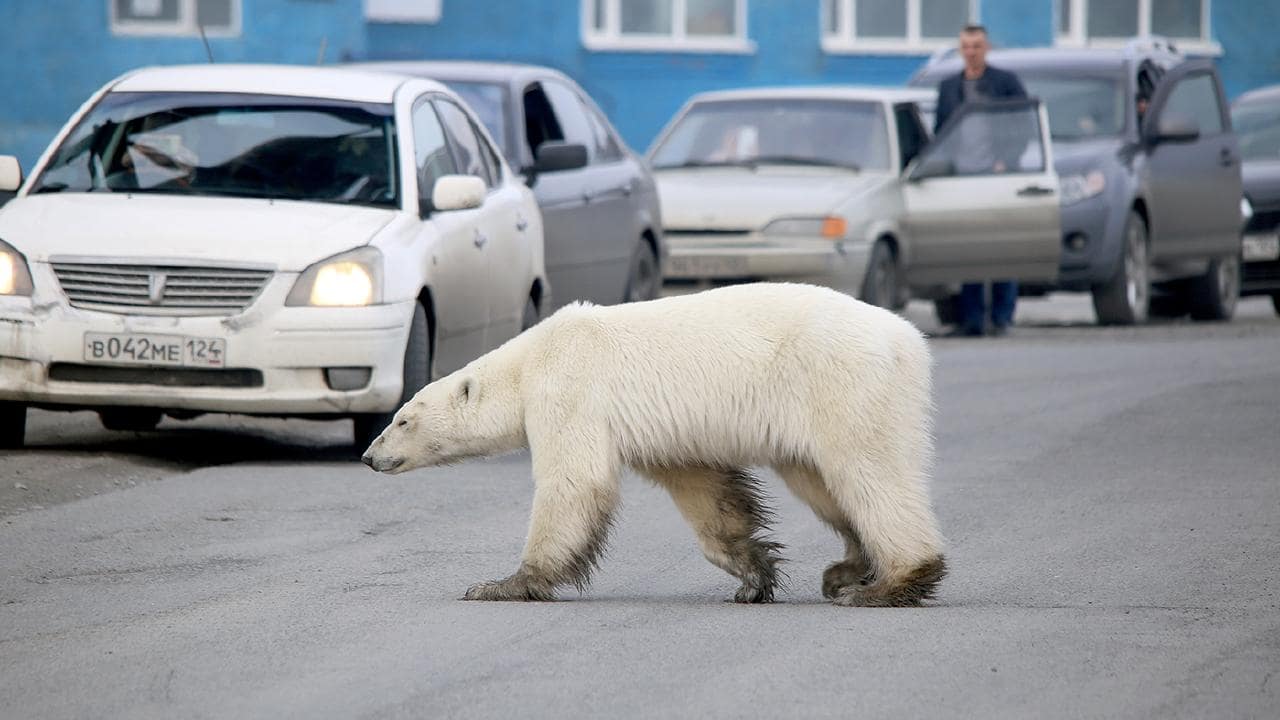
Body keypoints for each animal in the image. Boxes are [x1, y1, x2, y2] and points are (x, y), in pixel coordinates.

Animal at [360, 281, 942, 604]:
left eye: (403, 420)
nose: (369, 456)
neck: (528, 361)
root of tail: (909, 340)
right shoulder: (665, 434)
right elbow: (702, 489)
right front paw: (752, 574)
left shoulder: (569, 391)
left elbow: (575, 482)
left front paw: (503, 584)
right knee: (823, 482)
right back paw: (847, 570)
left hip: (844, 384)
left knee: (868, 471)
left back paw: (892, 585)